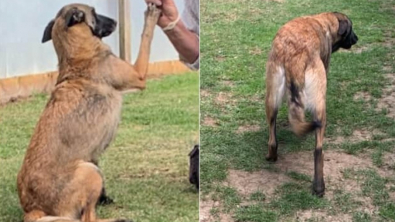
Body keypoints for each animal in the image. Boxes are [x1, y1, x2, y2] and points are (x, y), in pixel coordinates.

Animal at [17, 3, 159, 222]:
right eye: (94, 12)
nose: (116, 21)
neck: (76, 54)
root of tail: (33, 208)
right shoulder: (139, 74)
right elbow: (146, 36)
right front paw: (152, 15)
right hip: (89, 171)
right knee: (88, 218)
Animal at [266, 12, 358, 196]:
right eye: (351, 28)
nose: (357, 39)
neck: (325, 22)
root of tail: (294, 54)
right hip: (320, 106)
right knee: (318, 150)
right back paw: (319, 187)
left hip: (271, 97)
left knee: (272, 137)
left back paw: (272, 156)